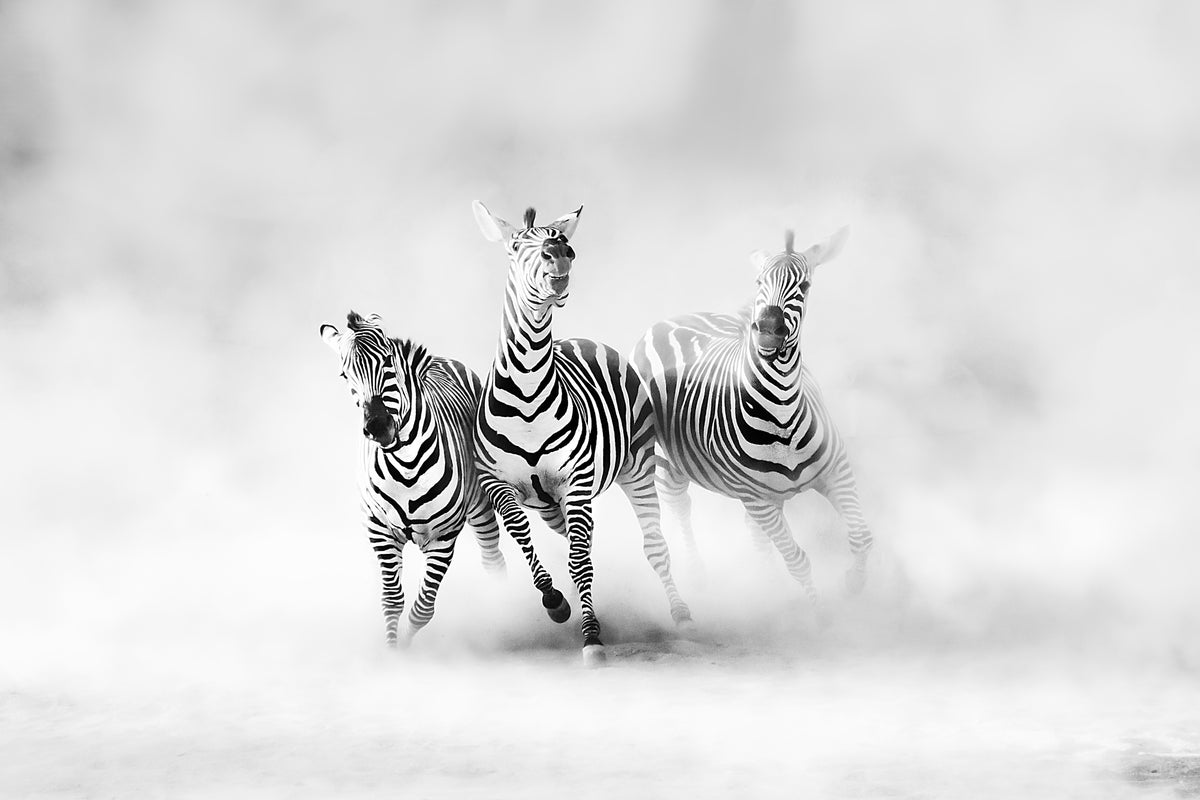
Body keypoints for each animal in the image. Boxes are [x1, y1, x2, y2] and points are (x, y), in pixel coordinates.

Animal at [320, 311, 506, 647]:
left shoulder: (444, 536)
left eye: (388, 361)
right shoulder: (379, 530)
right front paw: (395, 651)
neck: (405, 465)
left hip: (480, 507)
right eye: (344, 375)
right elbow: (392, 600)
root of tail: (441, 360)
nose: (377, 426)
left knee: (493, 560)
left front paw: (406, 645)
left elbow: (423, 608)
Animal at [472, 201, 693, 665]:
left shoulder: (575, 482)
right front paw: (556, 602)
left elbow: (579, 561)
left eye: (560, 239)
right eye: (515, 246)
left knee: (653, 544)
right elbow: (524, 538)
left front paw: (591, 635)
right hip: (551, 504)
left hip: (636, 468)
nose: (560, 252)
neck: (527, 390)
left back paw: (681, 615)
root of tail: (582, 339)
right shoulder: (499, 484)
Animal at [631, 227, 873, 618]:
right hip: (669, 465)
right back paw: (698, 575)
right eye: (759, 281)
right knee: (680, 507)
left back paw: (767, 583)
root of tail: (671, 319)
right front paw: (820, 615)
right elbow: (798, 559)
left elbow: (861, 536)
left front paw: (853, 584)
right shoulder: (756, 497)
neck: (783, 411)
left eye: (805, 285)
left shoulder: (836, 470)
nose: (768, 330)